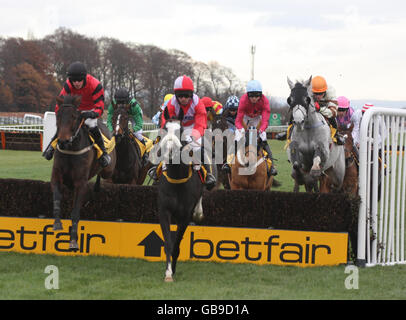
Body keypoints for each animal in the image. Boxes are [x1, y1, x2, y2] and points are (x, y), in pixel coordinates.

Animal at [51, 95, 116, 250]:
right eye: (58, 115)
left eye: (74, 117)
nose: (62, 141)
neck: (71, 149)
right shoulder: (56, 176)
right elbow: (56, 198)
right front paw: (57, 223)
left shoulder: (80, 183)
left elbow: (75, 212)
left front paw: (73, 241)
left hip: (108, 170)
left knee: (104, 174)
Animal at [157, 107, 205, 280]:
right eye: (165, 129)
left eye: (181, 130)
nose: (169, 150)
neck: (177, 179)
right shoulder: (164, 211)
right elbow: (168, 243)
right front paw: (168, 272)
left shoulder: (185, 216)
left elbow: (177, 244)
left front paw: (173, 270)